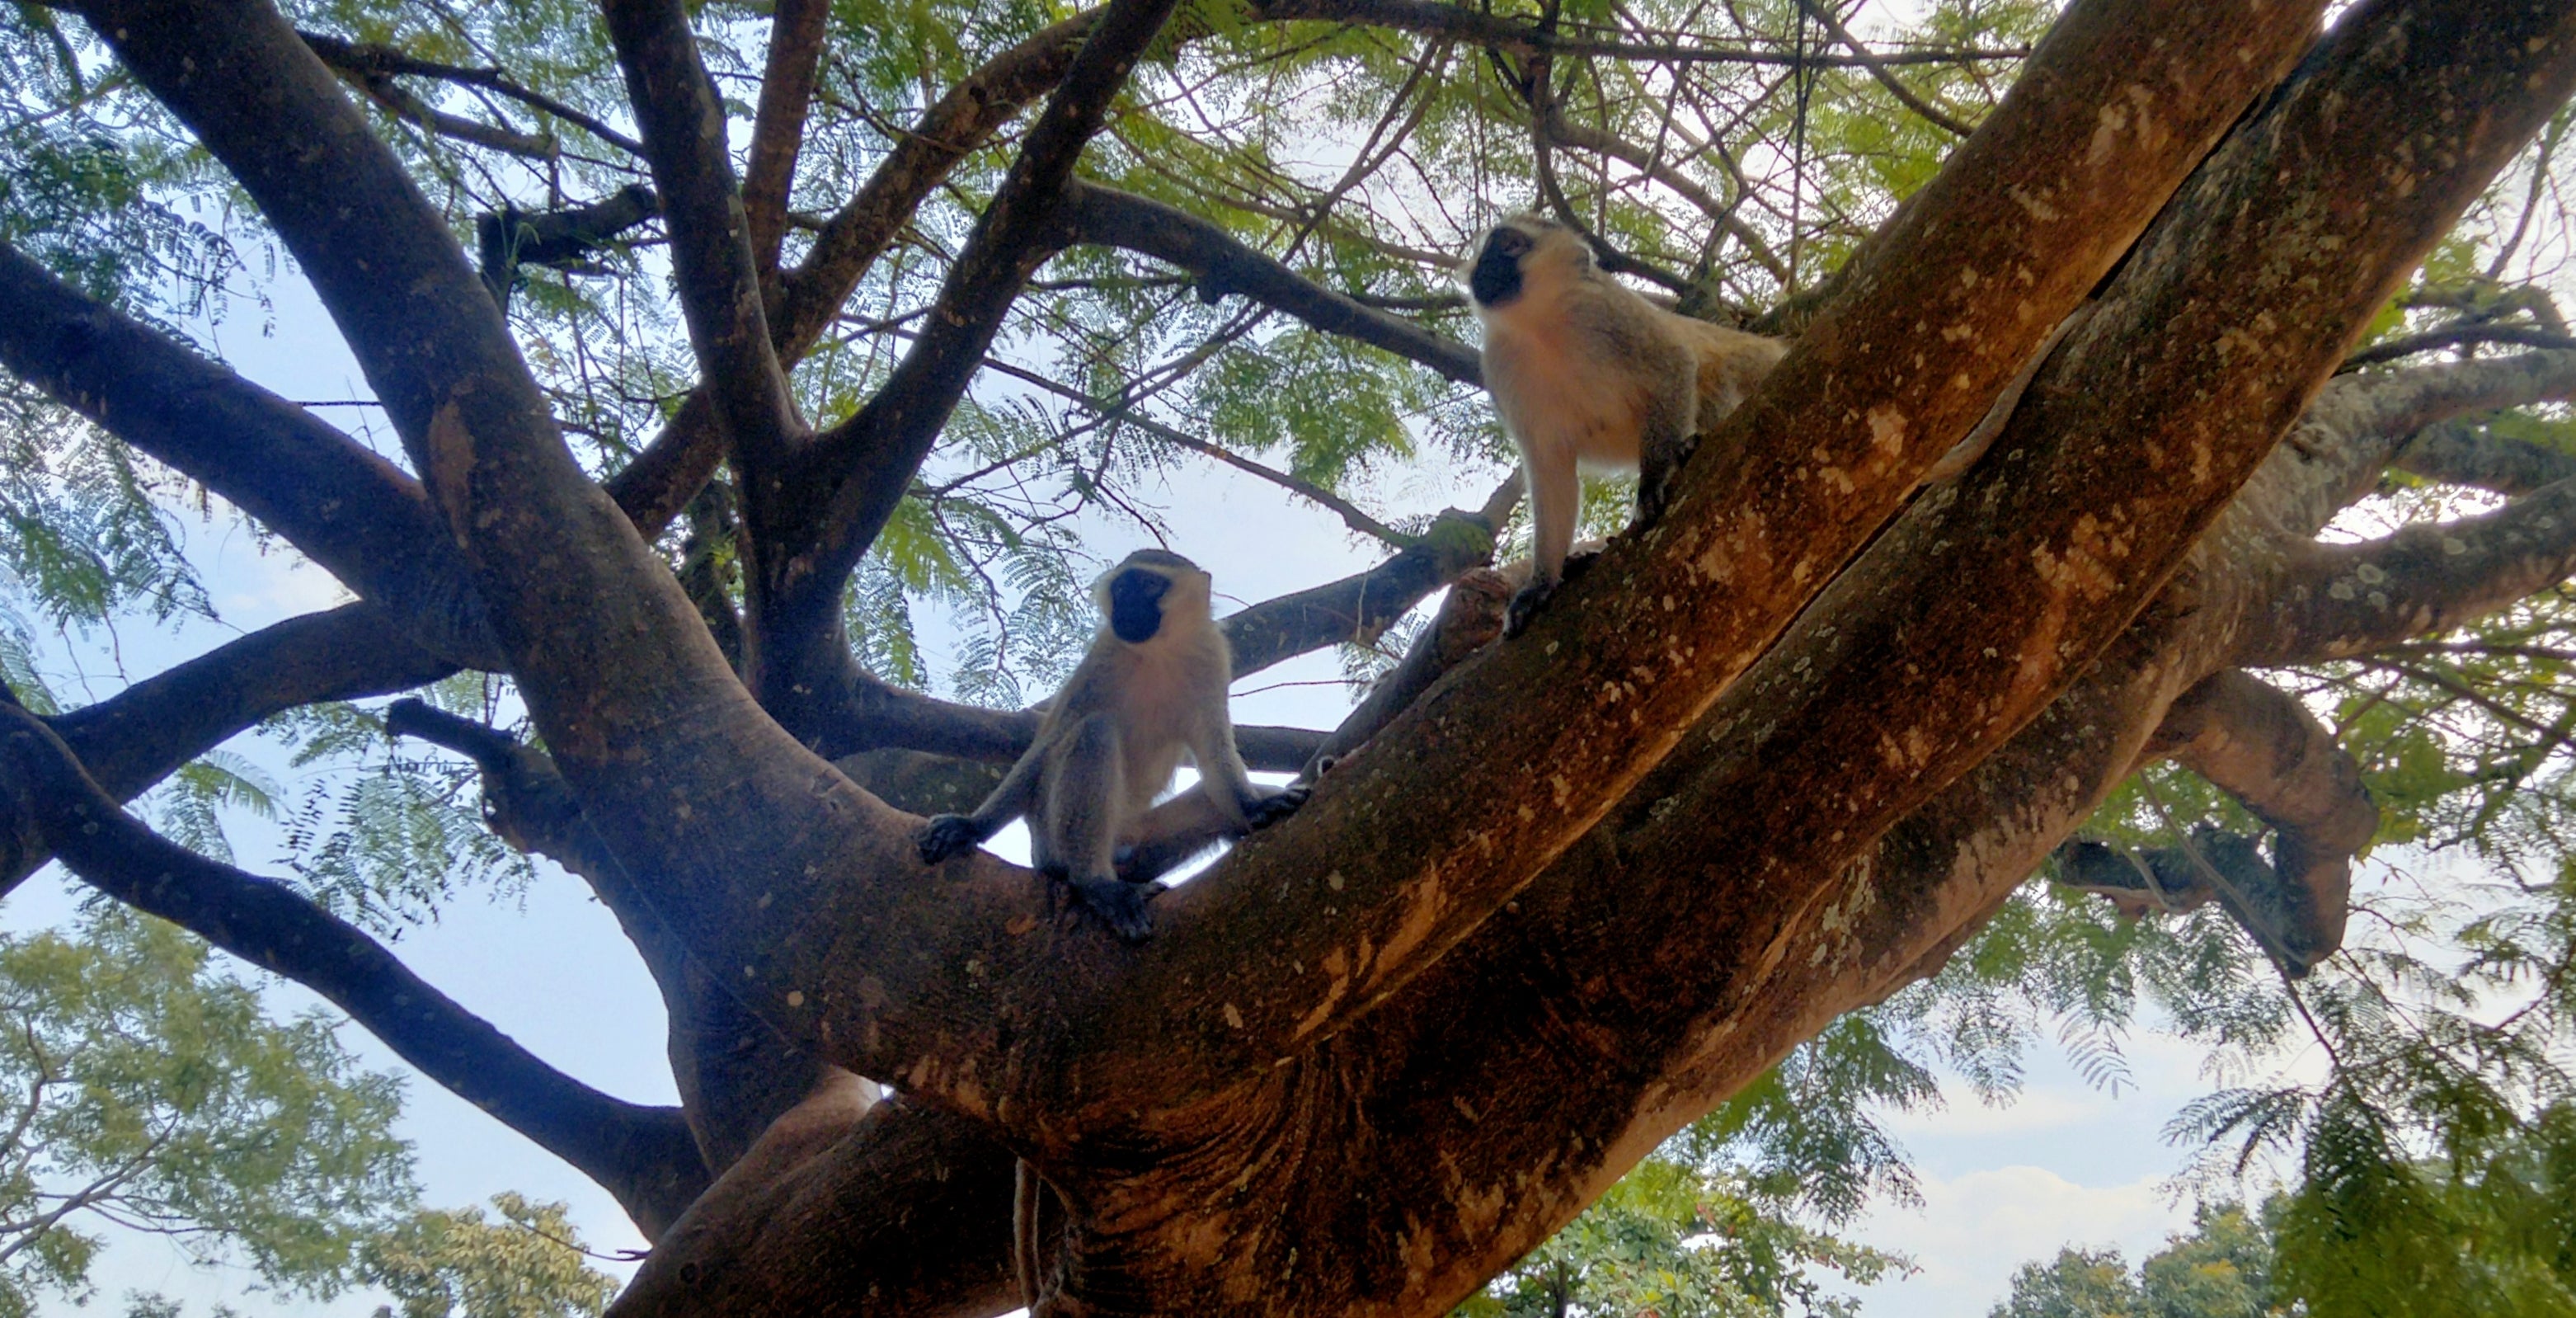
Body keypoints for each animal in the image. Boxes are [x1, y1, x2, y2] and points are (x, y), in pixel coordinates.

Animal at [915, 548, 1305, 941]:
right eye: (1121, 588)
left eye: (1149, 585)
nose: (1127, 607)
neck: (1158, 651)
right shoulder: (1102, 659)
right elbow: (1050, 743)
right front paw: (973, 826)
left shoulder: (1211, 658)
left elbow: (1215, 750)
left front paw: (1255, 806)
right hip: (1051, 834)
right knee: (1094, 733)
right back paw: (1097, 884)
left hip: (1142, 843)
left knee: (1207, 803)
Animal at [1461, 213, 1788, 635]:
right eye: (1486, 250)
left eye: (1511, 246)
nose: (1482, 270)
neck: (1542, 327)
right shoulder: (1501, 366)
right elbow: (1550, 469)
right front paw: (1541, 583)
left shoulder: (1610, 314)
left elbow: (1672, 365)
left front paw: (1652, 483)